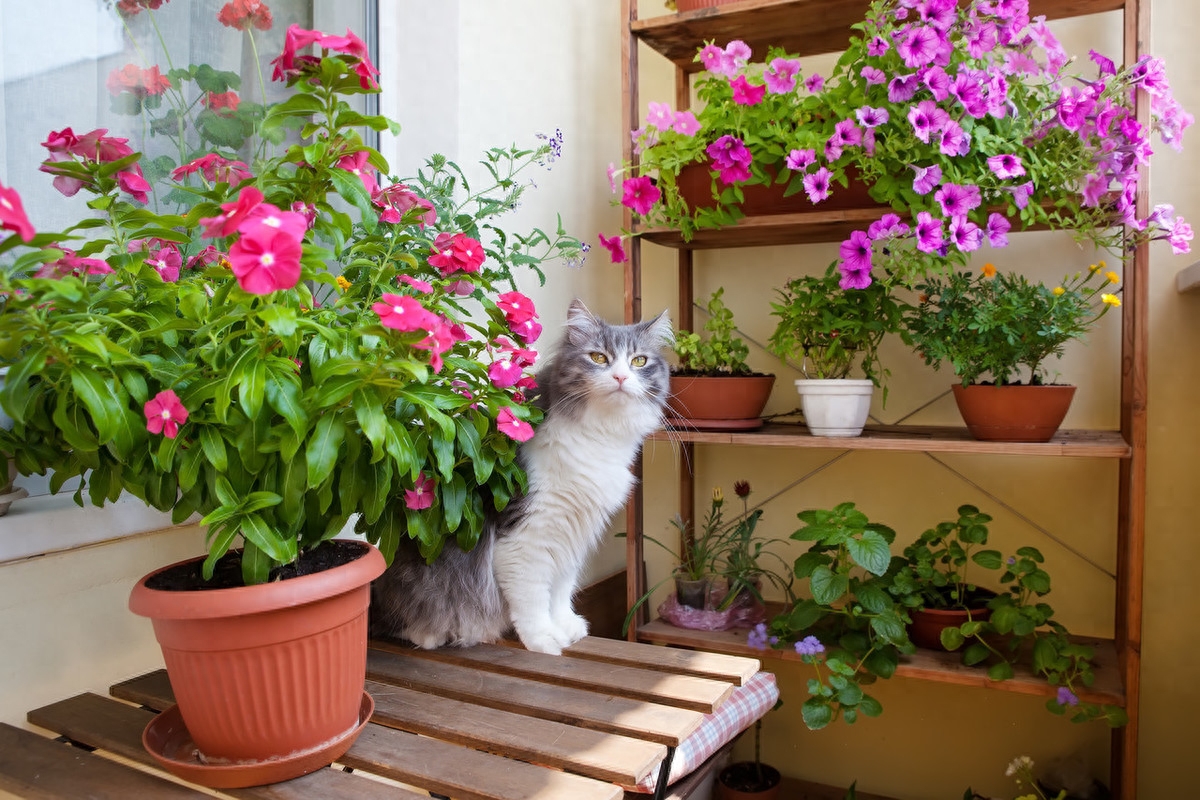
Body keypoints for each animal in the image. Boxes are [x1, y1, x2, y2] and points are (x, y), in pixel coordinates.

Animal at [372, 299, 676, 657]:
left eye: (639, 361)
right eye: (598, 357)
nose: (620, 376)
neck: (600, 435)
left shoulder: (571, 533)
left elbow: (560, 590)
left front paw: (566, 627)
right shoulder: (527, 535)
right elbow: (532, 598)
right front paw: (543, 639)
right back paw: (432, 635)